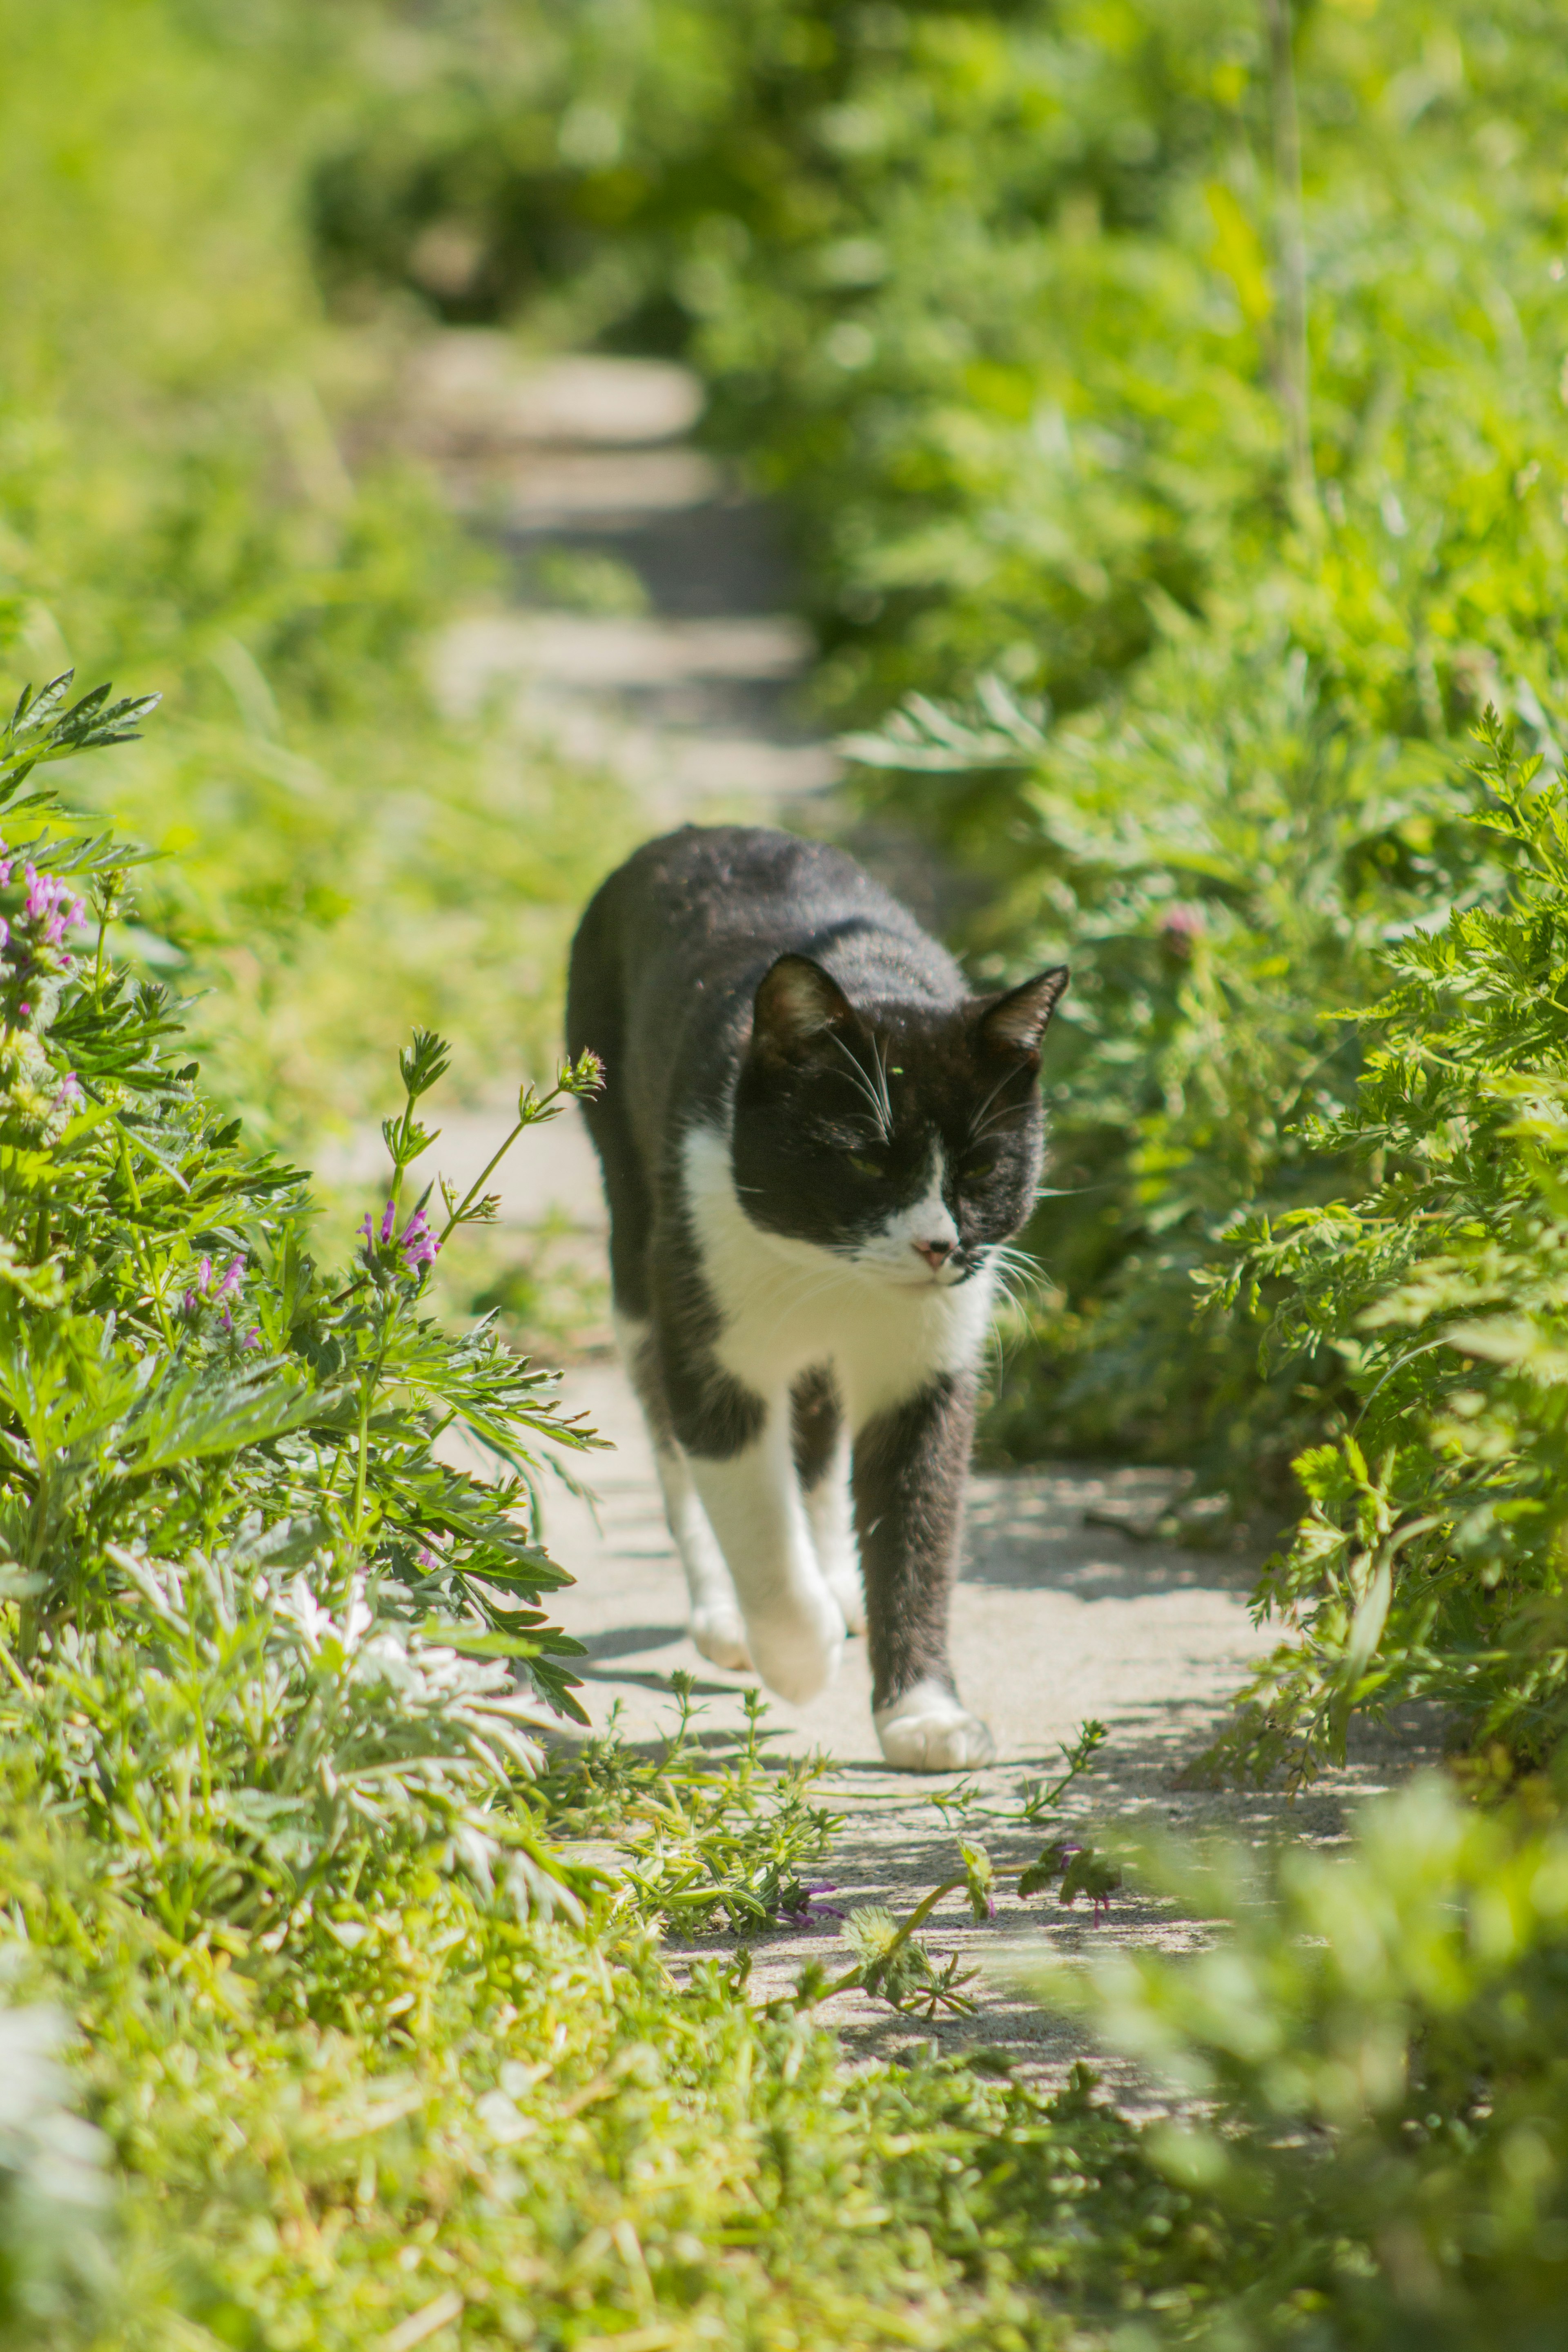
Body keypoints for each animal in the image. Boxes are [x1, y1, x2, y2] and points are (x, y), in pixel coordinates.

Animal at [564, 828, 1067, 1768]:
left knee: (823, 1430)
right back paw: (728, 1617)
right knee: (667, 1428)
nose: (938, 1242)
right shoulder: (708, 1316)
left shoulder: (929, 1363)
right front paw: (797, 1659)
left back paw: (840, 1579)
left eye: (982, 1166)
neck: (836, 1274)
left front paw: (925, 1717)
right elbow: (752, 1515)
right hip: (632, 1205)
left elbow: (918, 1526)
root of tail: (697, 834)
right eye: (865, 1158)